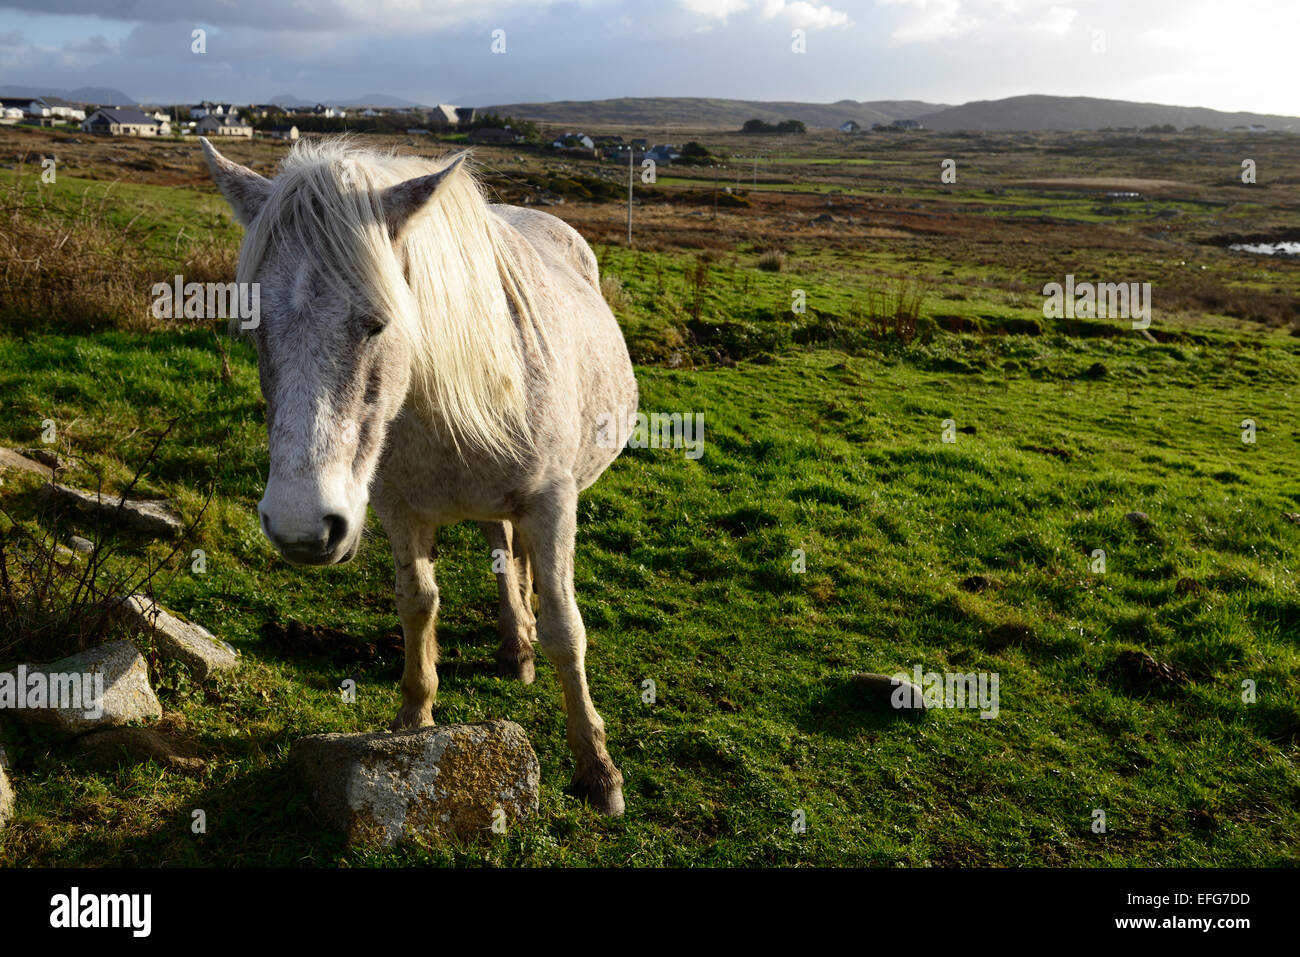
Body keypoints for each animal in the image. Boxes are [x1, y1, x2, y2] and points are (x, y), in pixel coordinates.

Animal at [201, 134, 639, 816]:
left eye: (380, 322)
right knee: (501, 549)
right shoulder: (397, 510)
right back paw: (515, 644)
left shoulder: (551, 502)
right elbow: (417, 603)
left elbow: (568, 629)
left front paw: (598, 769)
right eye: (254, 328)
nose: (300, 528)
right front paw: (413, 721)